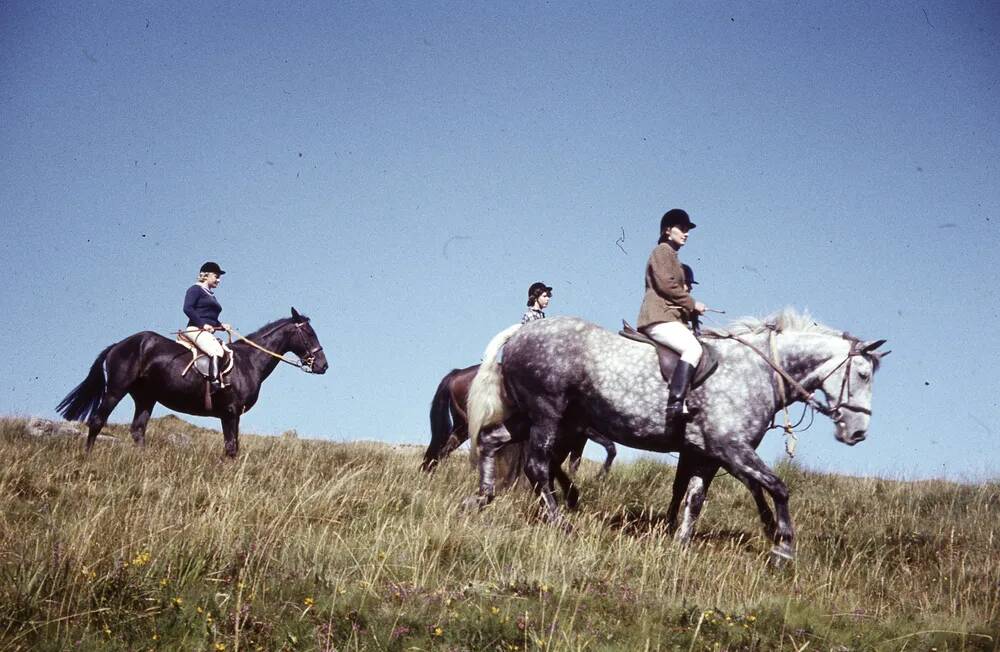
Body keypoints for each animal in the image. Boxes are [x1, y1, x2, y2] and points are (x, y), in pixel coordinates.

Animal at [57, 310, 328, 458]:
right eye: (309, 333)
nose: (322, 366)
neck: (249, 361)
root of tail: (119, 345)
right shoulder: (230, 412)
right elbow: (231, 447)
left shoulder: (232, 415)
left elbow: (233, 448)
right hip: (115, 390)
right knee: (97, 421)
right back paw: (88, 456)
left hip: (145, 397)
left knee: (138, 430)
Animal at [418, 362, 612, 474]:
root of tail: (457, 373)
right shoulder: (584, 432)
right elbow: (608, 448)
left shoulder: (578, 437)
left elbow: (574, 463)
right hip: (470, 425)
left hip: (462, 426)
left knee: (444, 449)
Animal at [464, 310, 888, 560]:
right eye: (863, 374)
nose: (859, 433)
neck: (758, 369)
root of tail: (523, 332)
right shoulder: (730, 449)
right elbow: (778, 487)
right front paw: (783, 546)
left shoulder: (706, 455)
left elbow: (695, 498)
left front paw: (681, 544)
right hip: (547, 414)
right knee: (537, 466)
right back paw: (561, 523)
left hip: (532, 416)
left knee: (490, 441)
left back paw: (480, 499)